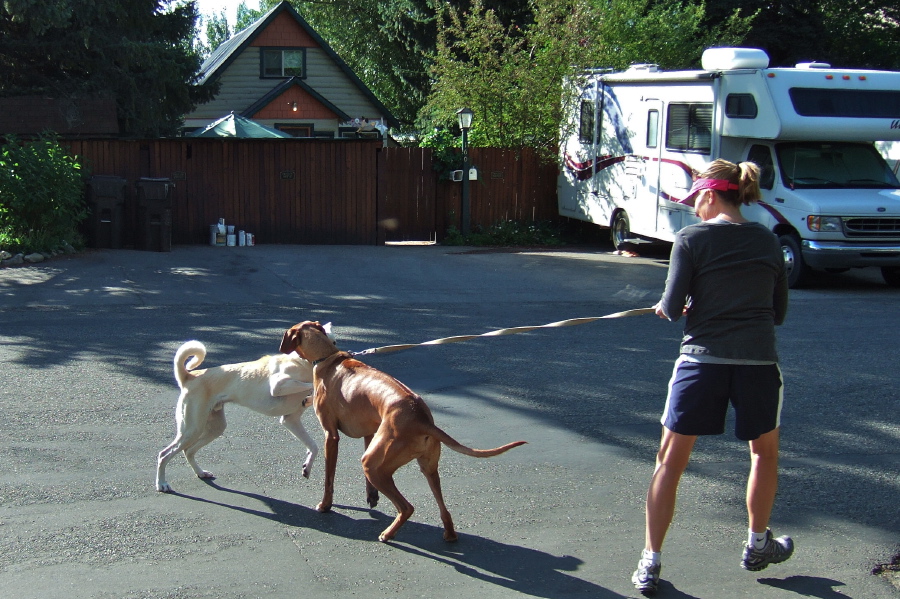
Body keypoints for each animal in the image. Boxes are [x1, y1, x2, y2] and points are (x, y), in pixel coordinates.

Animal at [156, 340, 318, 494]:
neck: (303, 361)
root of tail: (190, 376)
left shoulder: (291, 420)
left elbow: (313, 447)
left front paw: (307, 467)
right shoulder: (278, 386)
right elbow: (309, 384)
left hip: (214, 428)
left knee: (188, 451)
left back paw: (201, 473)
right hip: (192, 429)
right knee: (164, 454)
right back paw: (162, 484)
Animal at [278, 324, 524, 544]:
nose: (304, 400)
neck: (328, 357)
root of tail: (422, 420)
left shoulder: (331, 436)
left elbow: (329, 478)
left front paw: (325, 505)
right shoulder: (370, 433)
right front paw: (371, 497)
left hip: (374, 464)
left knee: (407, 507)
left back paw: (388, 534)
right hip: (426, 468)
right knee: (442, 507)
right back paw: (449, 534)